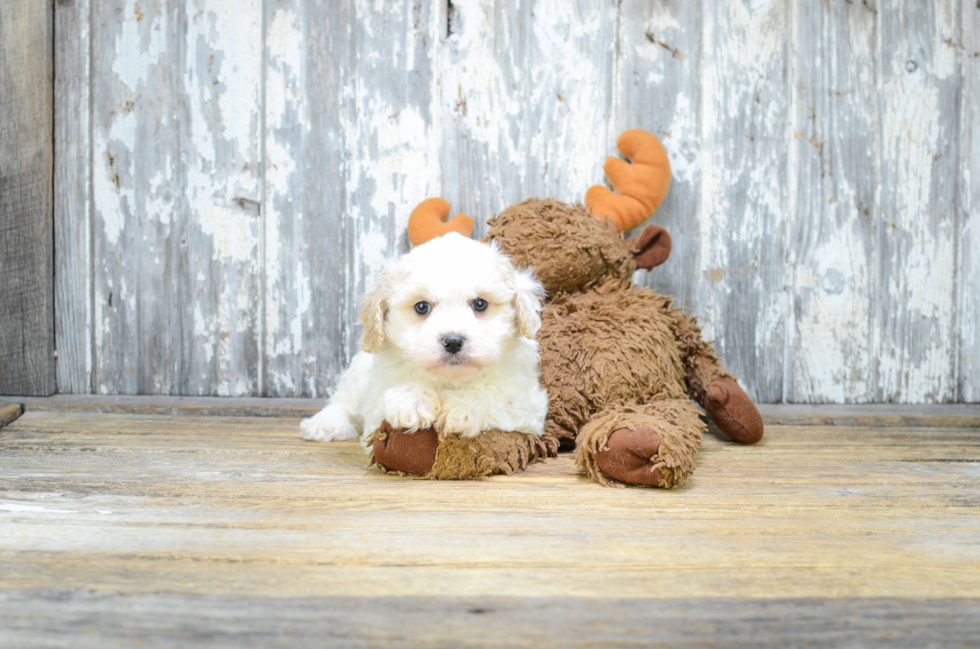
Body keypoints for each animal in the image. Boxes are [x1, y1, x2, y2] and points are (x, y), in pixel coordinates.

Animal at [298, 234, 552, 446]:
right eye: (422, 307)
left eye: (480, 304)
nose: (453, 341)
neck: (448, 379)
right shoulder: (376, 401)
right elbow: (386, 397)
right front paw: (413, 401)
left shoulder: (526, 404)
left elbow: (495, 395)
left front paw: (462, 407)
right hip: (358, 372)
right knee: (343, 401)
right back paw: (325, 425)